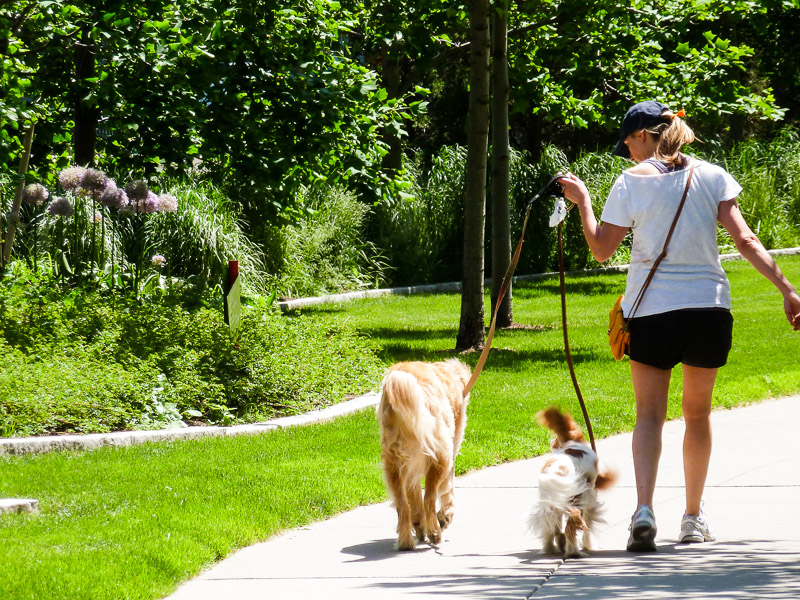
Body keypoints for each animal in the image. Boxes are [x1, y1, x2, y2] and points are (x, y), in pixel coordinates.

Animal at [378, 358, 472, 552]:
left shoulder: (410, 470)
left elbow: (414, 499)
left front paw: (420, 526)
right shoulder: (450, 453)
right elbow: (448, 489)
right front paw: (445, 516)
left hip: (394, 465)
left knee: (403, 505)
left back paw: (406, 541)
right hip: (440, 455)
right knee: (429, 497)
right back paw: (435, 533)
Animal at [528, 408, 616, 556]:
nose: (552, 441)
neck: (574, 444)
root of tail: (558, 472)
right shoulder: (590, 499)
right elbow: (588, 526)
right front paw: (588, 546)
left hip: (551, 504)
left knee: (550, 529)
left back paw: (551, 548)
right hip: (576, 501)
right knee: (571, 527)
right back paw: (573, 552)